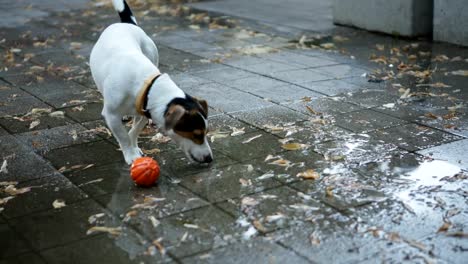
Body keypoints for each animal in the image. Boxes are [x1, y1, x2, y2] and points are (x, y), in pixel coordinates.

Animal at [89, 0, 212, 165]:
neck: (147, 85)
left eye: (206, 132)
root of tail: (127, 24)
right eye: (196, 134)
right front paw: (130, 154)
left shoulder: (144, 109)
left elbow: (134, 130)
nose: (210, 159)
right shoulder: (111, 115)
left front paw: (134, 145)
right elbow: (123, 136)